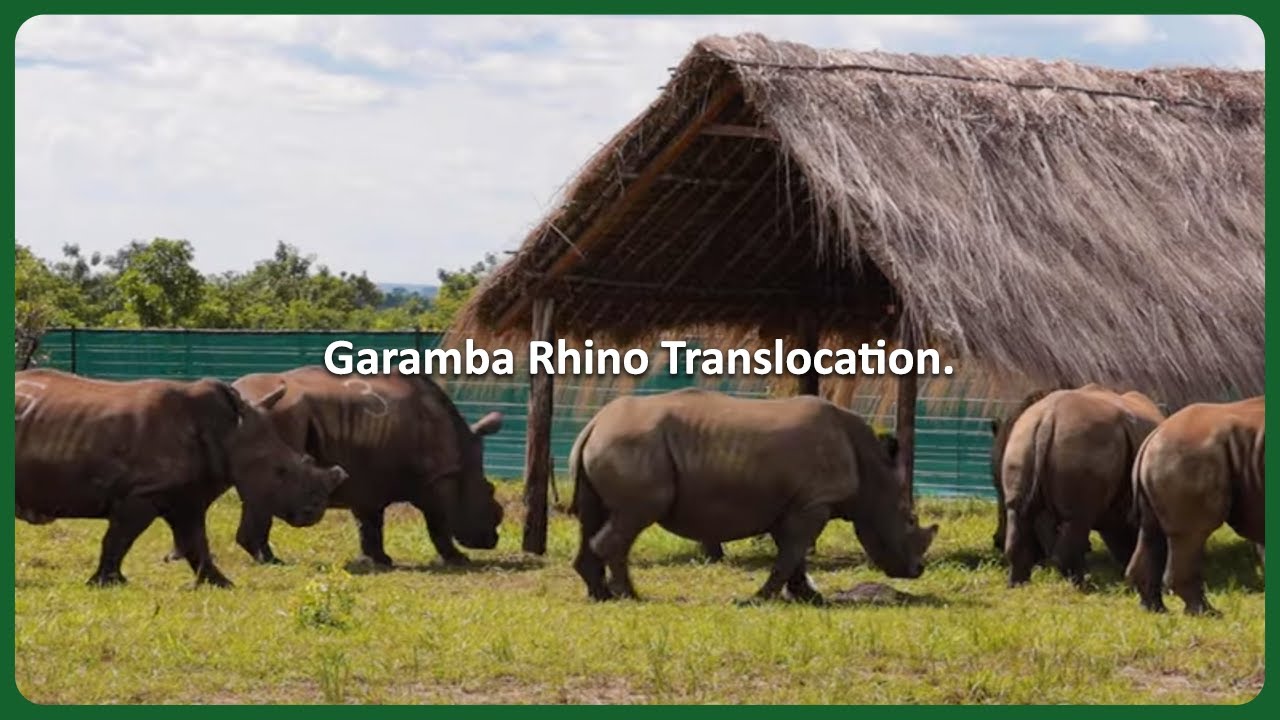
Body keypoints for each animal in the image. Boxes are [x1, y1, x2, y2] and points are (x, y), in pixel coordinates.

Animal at [15, 369, 347, 587]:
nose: (313, 513)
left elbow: (195, 541)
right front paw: (107, 583)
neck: (227, 432)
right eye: (280, 471)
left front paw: (220, 584)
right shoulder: (141, 493)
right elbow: (119, 538)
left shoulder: (188, 494)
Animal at [219, 366, 504, 567]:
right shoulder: (437, 479)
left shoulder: (368, 478)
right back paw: (272, 561)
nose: (493, 539)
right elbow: (438, 525)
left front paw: (380, 561)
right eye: (489, 491)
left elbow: (369, 523)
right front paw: (459, 560)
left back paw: (268, 558)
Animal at [567, 388, 938, 603]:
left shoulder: (794, 504)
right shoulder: (814, 502)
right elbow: (791, 553)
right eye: (910, 520)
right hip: (631, 443)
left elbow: (794, 555)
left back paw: (600, 595)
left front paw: (809, 599)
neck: (873, 470)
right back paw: (631, 596)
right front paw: (762, 598)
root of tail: (594, 424)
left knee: (594, 517)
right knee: (633, 516)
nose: (918, 570)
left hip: (614, 442)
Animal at [1001, 384, 1164, 587]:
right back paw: (1084, 586)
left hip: (1021, 440)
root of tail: (1047, 418)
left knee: (1017, 511)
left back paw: (1017, 585)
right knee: (1078, 518)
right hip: (1083, 443)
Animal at [1125, 396, 1264, 615]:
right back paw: (1207, 613)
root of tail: (1153, 435)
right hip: (1188, 455)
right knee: (1192, 534)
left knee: (1150, 530)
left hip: (1171, 456)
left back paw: (1155, 610)